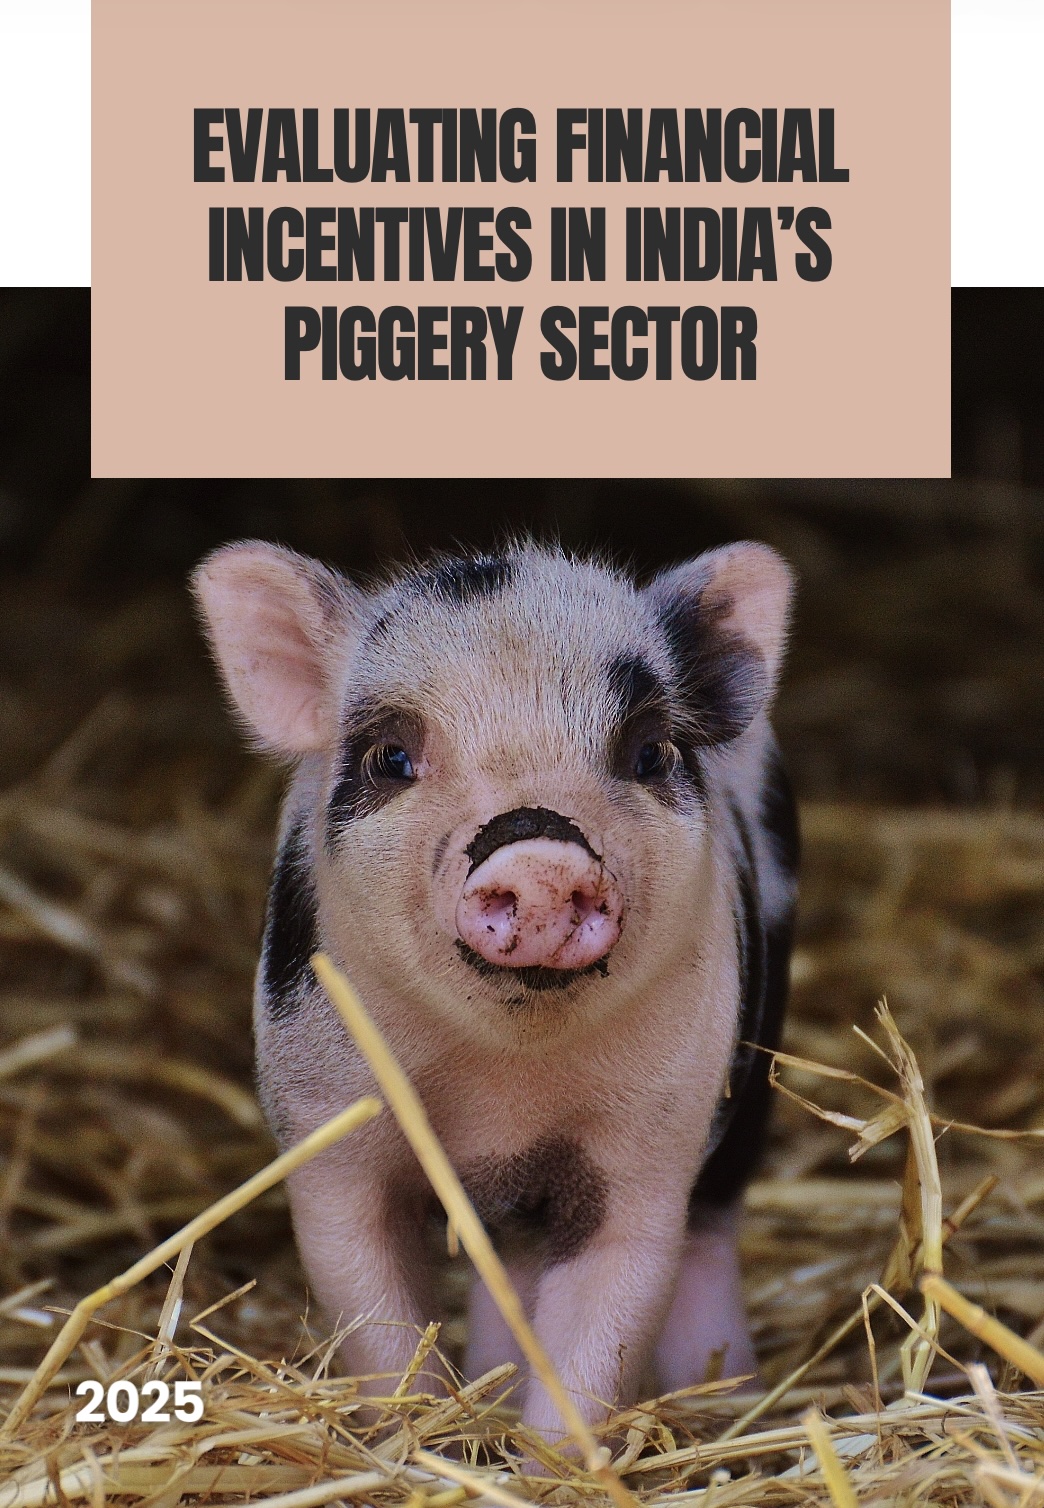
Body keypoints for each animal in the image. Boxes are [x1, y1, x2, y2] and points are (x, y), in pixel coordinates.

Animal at [191, 538, 798, 1441]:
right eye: (391, 757)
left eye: (650, 753)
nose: (540, 851)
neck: (503, 1092)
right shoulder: (326, 1123)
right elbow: (373, 1313)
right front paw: (417, 1438)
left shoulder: (650, 1143)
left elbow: (605, 1321)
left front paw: (551, 1457)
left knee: (710, 1231)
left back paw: (726, 1398)